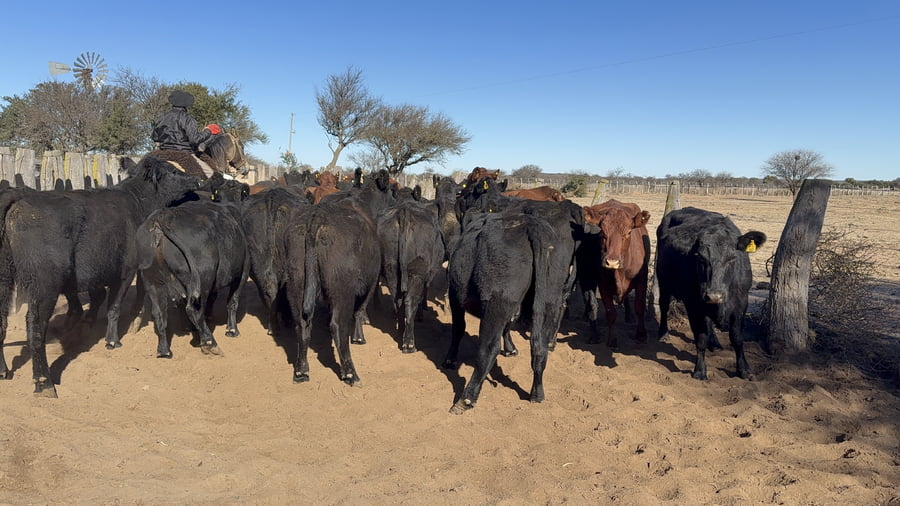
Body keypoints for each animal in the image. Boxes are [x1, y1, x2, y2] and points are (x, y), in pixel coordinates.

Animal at [0, 156, 200, 396]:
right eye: (173, 171)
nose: (196, 179)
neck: (136, 203)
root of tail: (18, 195)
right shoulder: (125, 271)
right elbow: (114, 306)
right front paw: (112, 340)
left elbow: (97, 299)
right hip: (44, 283)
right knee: (36, 327)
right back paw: (44, 382)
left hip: (4, 278)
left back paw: (3, 371)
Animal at [135, 175, 250, 358]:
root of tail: (162, 217)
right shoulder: (243, 272)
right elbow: (233, 301)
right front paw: (232, 330)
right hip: (202, 279)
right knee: (193, 310)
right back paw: (209, 342)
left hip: (152, 281)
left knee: (159, 313)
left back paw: (164, 350)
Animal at [376, 198, 445, 353]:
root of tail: (404, 211)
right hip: (417, 273)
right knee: (410, 302)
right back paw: (409, 343)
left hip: (391, 269)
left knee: (398, 301)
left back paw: (400, 333)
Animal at [578, 200, 651, 347]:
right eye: (602, 233)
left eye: (628, 232)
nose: (612, 262)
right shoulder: (603, 283)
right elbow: (610, 312)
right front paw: (612, 339)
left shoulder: (642, 278)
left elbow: (639, 307)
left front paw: (641, 335)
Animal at [655, 207, 767, 380]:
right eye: (700, 258)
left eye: (732, 258)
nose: (714, 295)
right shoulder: (693, 303)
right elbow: (700, 337)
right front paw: (700, 371)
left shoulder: (742, 302)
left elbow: (737, 338)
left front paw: (744, 370)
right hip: (663, 280)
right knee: (664, 305)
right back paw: (663, 334)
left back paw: (715, 343)